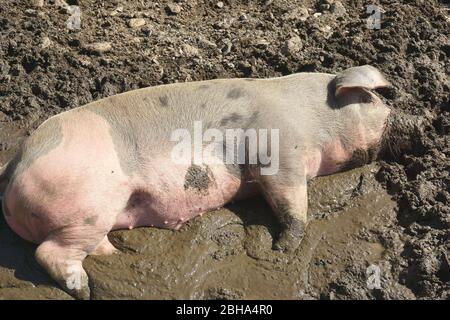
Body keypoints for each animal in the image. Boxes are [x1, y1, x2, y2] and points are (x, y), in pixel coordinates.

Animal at [0, 65, 408, 300]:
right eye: (371, 100)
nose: (405, 119)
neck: (311, 116)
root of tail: (14, 168)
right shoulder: (278, 154)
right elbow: (290, 200)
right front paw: (282, 249)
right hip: (85, 206)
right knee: (49, 253)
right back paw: (85, 291)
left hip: (95, 216)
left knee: (89, 245)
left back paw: (119, 258)